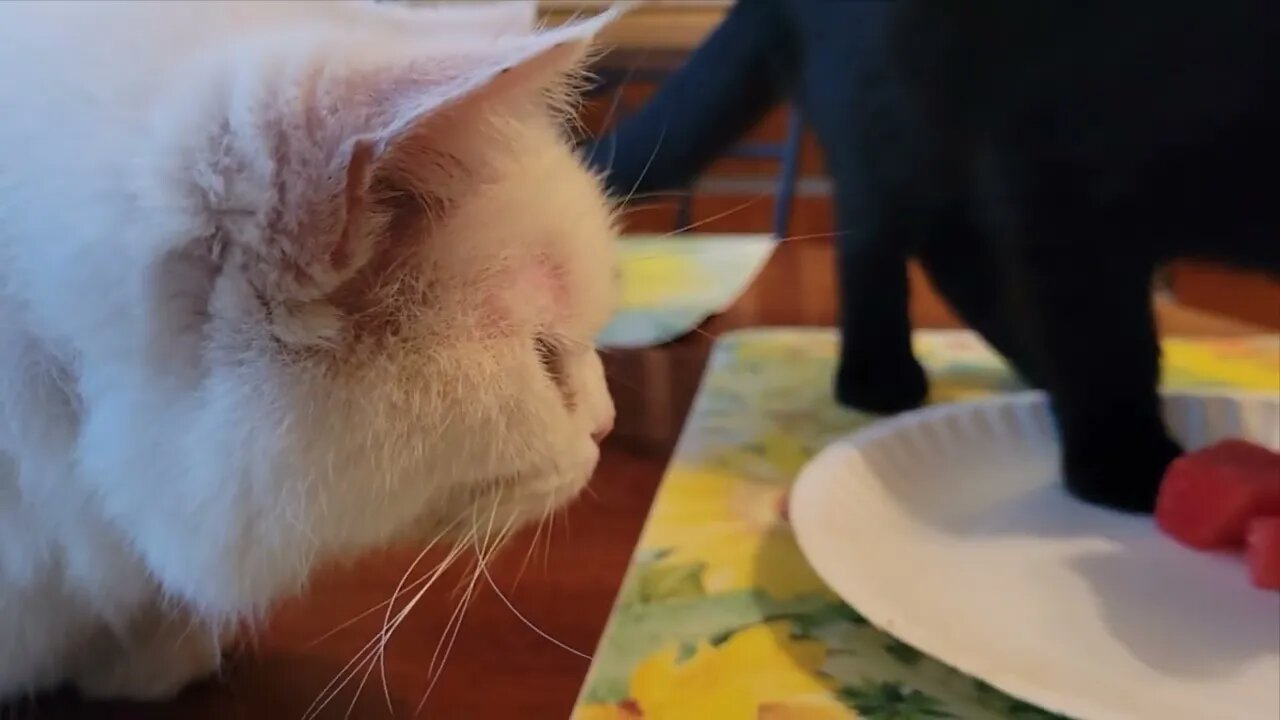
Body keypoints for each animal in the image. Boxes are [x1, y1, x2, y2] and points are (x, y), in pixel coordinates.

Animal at [591, 1, 1280, 515]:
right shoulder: (1061, 163)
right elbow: (1105, 339)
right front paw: (1125, 462)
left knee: (958, 256)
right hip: (888, 99)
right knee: (880, 243)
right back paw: (881, 377)